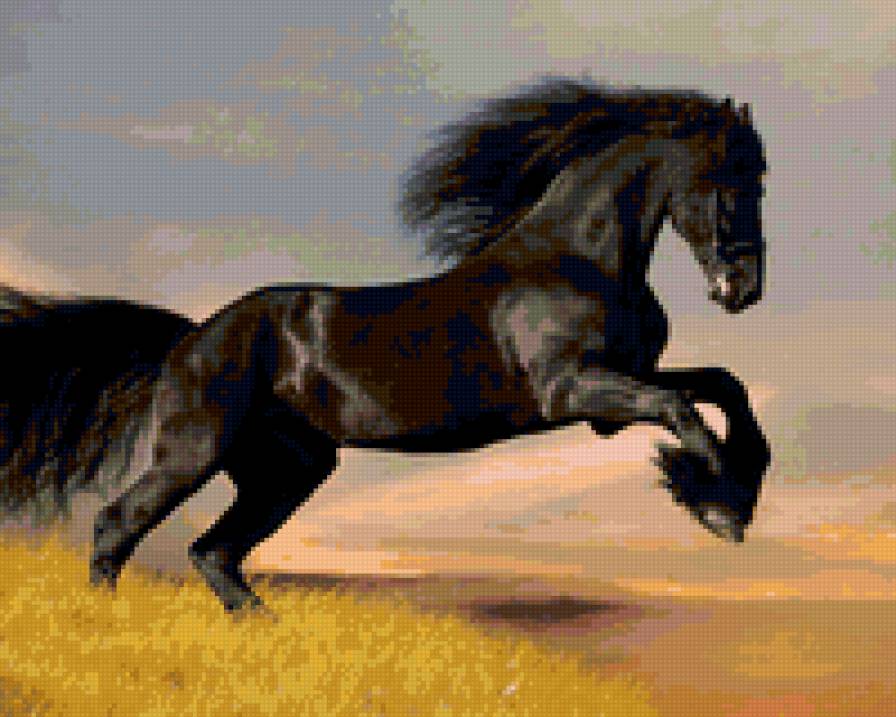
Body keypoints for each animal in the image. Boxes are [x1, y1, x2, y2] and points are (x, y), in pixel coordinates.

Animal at [0, 77, 770, 611]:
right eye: (731, 179)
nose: (743, 287)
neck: (579, 257)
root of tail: (191, 337)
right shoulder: (573, 391)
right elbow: (682, 408)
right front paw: (719, 506)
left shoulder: (618, 389)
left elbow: (723, 385)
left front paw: (728, 491)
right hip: (193, 451)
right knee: (118, 524)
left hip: (290, 468)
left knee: (212, 551)